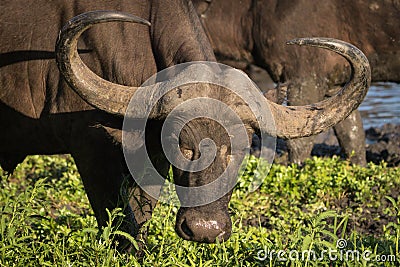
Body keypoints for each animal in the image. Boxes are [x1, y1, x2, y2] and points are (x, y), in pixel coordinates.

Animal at [0, 0, 370, 251]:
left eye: (242, 148)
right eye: (182, 144)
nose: (205, 229)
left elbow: (140, 217)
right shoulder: (90, 150)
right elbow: (118, 223)